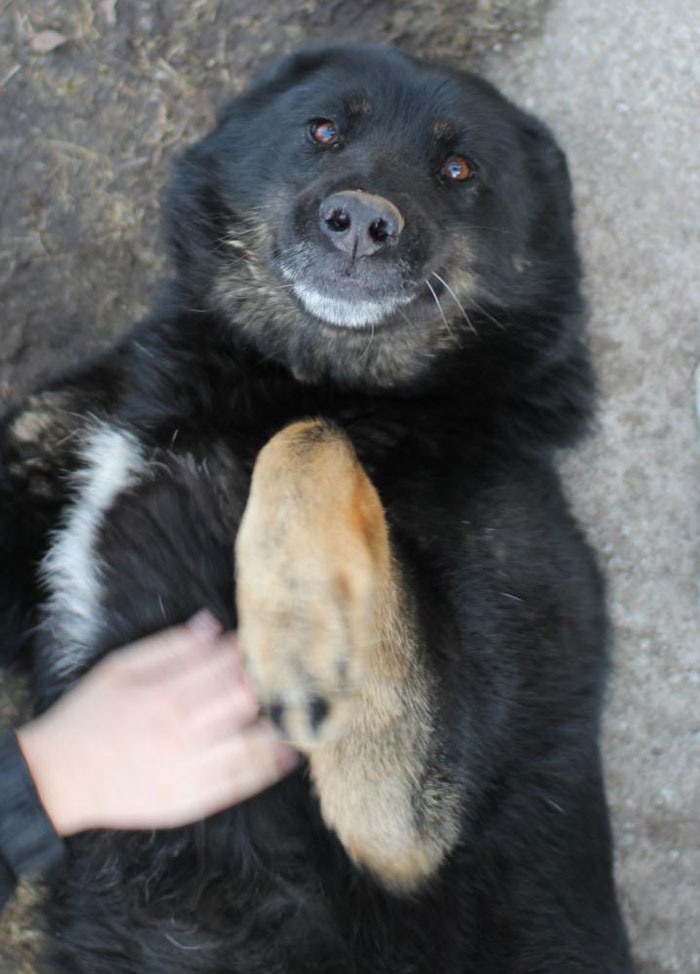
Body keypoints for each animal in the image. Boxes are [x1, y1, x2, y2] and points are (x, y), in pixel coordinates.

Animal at [0, 43, 636, 974]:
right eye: (325, 129)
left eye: (458, 170)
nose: (362, 221)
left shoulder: (414, 824)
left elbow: (310, 433)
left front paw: (307, 636)